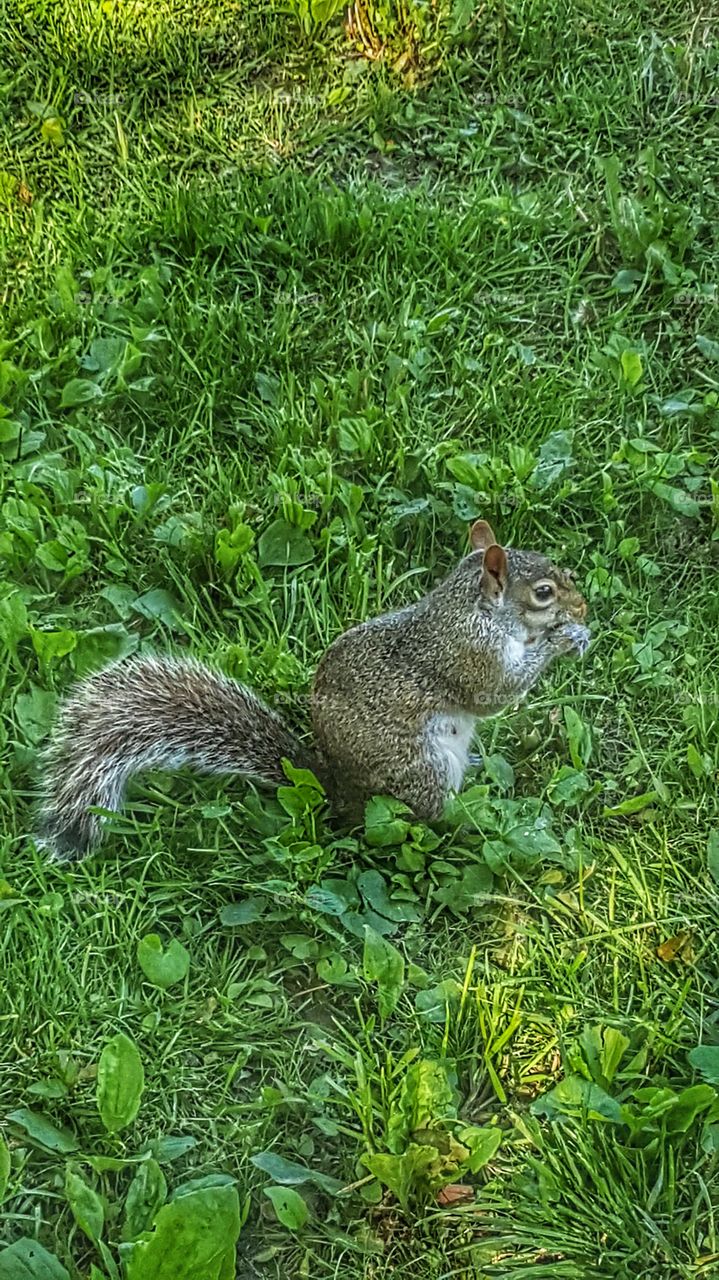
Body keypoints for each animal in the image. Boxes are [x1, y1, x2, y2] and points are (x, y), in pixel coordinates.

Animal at [37, 519, 590, 860]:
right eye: (543, 593)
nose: (583, 606)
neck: (474, 609)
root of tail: (339, 791)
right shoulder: (469, 655)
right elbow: (497, 694)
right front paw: (564, 640)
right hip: (421, 771)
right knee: (425, 820)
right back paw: (469, 819)